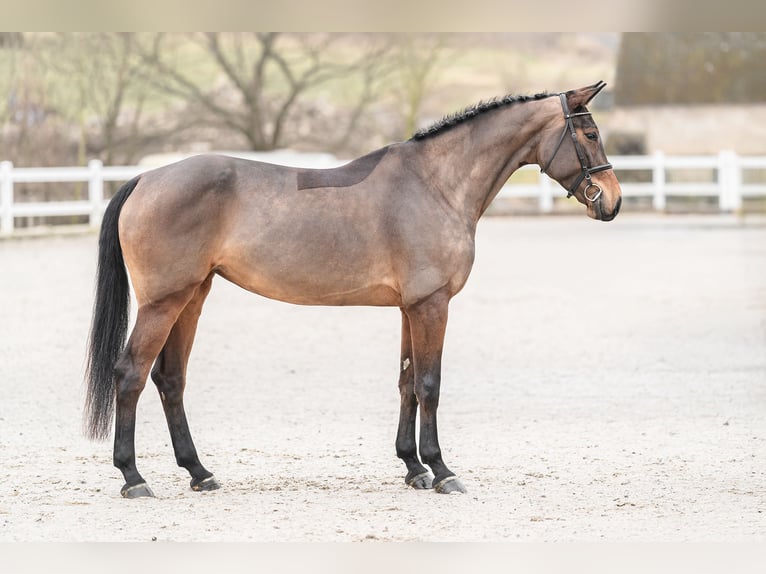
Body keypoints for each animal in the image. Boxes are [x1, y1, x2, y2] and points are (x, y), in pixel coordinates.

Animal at [84, 81, 624, 500]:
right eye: (591, 133)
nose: (613, 201)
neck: (434, 183)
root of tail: (145, 178)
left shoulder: (410, 307)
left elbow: (407, 382)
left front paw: (413, 468)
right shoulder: (432, 305)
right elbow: (430, 384)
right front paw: (442, 470)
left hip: (192, 298)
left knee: (170, 378)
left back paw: (199, 472)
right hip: (163, 302)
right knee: (130, 374)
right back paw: (133, 478)